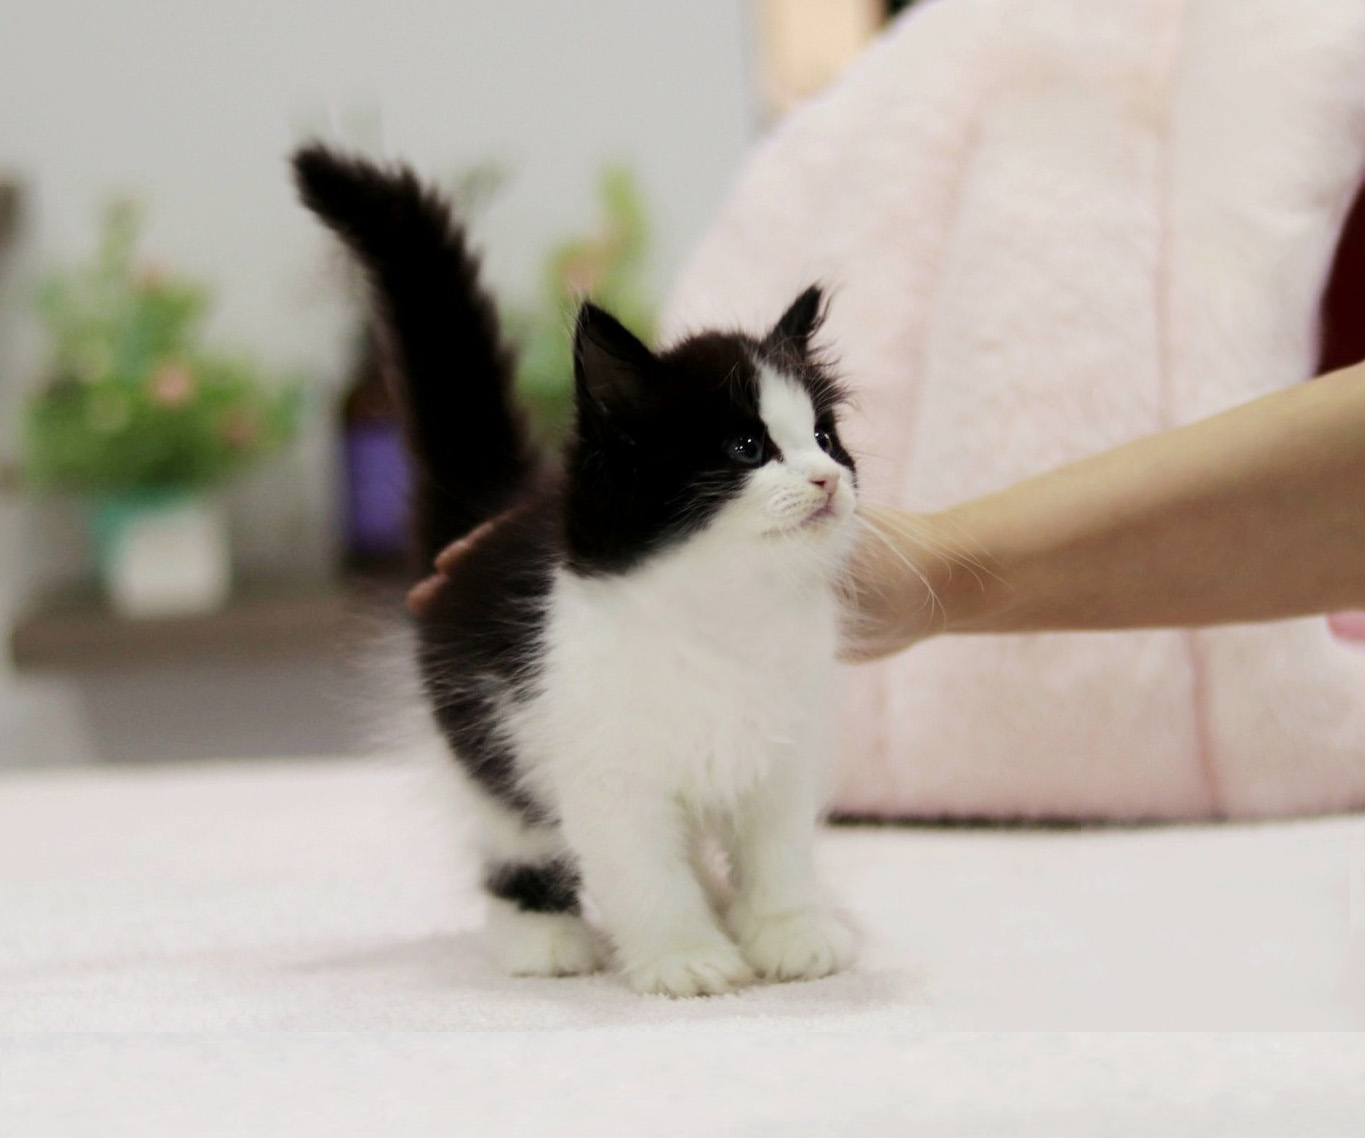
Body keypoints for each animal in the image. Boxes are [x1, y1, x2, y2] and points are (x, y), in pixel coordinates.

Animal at [294, 145, 860, 996]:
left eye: (824, 439)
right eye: (746, 449)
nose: (826, 480)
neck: (726, 613)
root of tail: (495, 511)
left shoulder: (782, 759)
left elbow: (779, 856)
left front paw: (790, 936)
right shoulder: (602, 765)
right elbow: (646, 875)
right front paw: (685, 958)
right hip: (485, 737)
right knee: (515, 842)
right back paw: (542, 939)